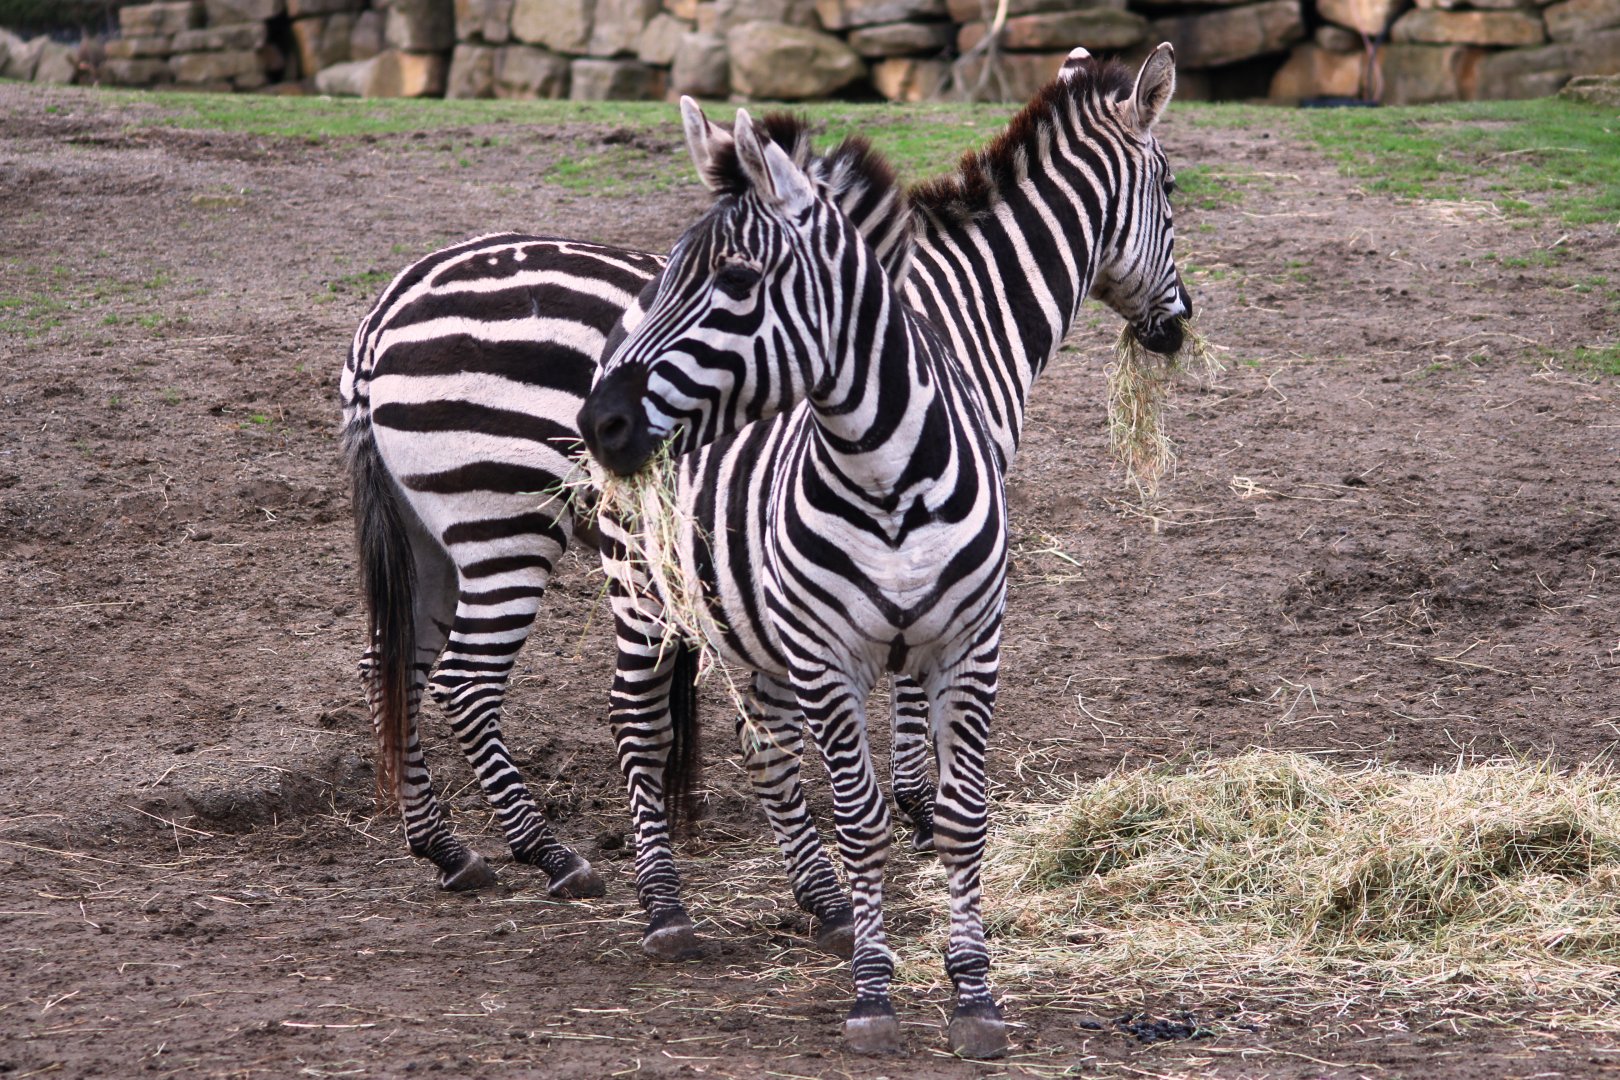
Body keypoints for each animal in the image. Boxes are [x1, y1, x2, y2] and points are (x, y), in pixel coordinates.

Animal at [341, 118, 934, 915]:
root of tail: (385, 311)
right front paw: (917, 804)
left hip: (424, 533)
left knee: (391, 664)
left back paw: (445, 846)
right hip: (505, 516)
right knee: (465, 679)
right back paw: (550, 854)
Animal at [577, 44, 1189, 1057]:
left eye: (733, 279)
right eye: (1172, 188)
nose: (1174, 326)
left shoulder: (943, 624)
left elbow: (930, 761)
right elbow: (883, 767)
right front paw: (910, 841)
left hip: (727, 598)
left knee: (760, 738)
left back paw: (821, 904)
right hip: (642, 581)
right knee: (639, 723)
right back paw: (666, 910)